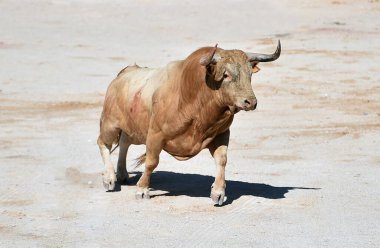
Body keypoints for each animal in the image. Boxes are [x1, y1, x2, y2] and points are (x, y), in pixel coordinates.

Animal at [97, 40, 282, 204]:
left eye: (250, 75)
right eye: (225, 75)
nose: (250, 102)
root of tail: (124, 73)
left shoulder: (222, 134)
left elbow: (222, 160)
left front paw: (218, 193)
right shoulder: (155, 135)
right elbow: (151, 162)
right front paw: (142, 189)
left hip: (134, 130)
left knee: (124, 142)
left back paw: (122, 174)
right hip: (110, 124)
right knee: (103, 143)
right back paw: (109, 178)